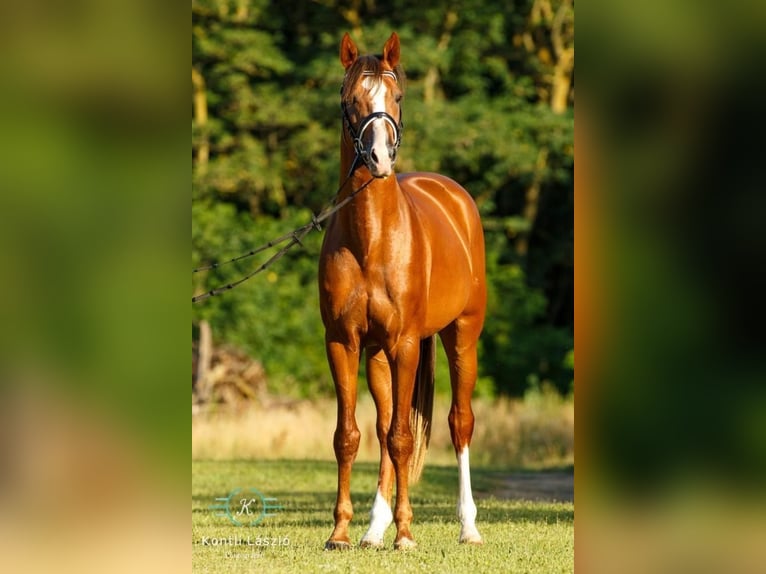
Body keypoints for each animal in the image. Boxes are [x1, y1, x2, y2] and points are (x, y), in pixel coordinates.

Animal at [320, 32, 488, 552]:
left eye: (396, 97)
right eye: (349, 99)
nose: (379, 159)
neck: (371, 239)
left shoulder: (407, 344)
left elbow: (402, 439)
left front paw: (407, 533)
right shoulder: (343, 342)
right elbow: (350, 435)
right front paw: (341, 532)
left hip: (462, 337)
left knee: (459, 423)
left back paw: (468, 527)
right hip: (376, 354)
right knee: (382, 424)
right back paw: (374, 529)